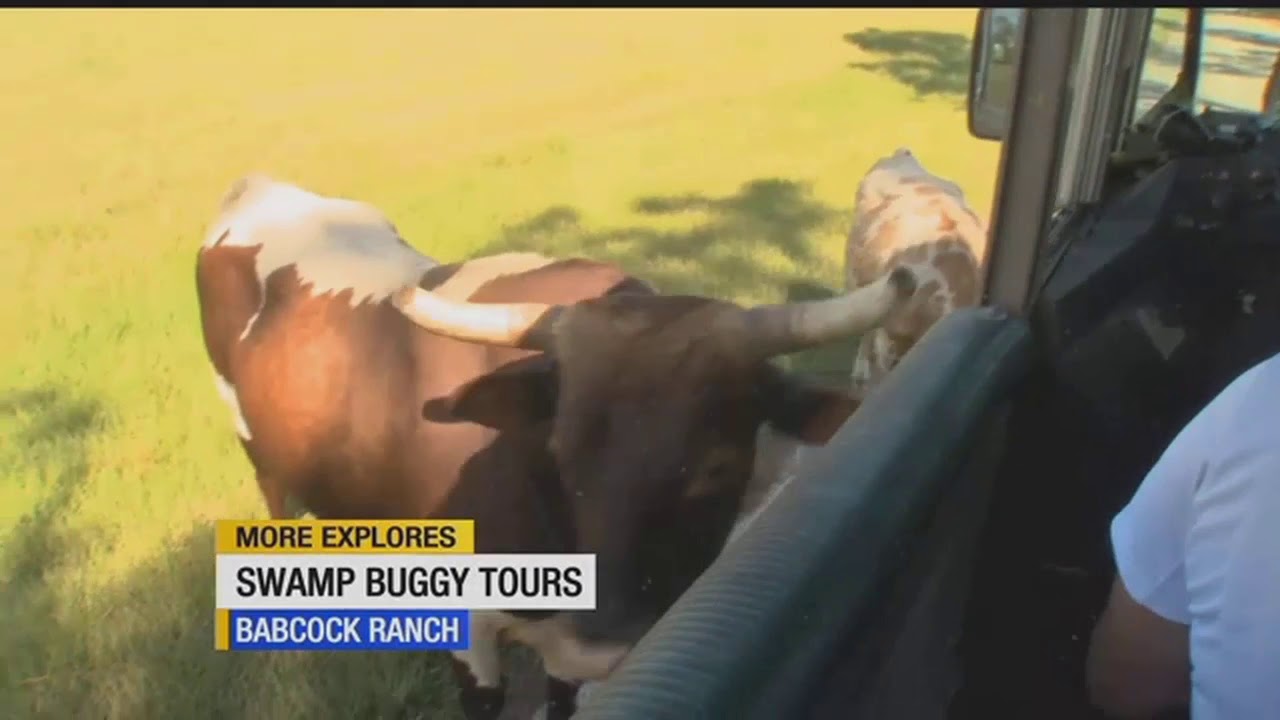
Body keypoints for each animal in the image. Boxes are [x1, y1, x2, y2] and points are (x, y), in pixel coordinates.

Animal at [194, 175, 916, 717]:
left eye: (719, 466)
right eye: (559, 453)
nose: (606, 646)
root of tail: (258, 186)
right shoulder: (473, 632)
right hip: (255, 445)